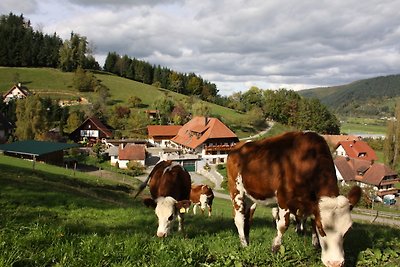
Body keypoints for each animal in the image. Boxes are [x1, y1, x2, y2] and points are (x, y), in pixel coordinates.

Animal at [228, 132, 362, 267]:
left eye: (348, 230)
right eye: (321, 228)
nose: (335, 263)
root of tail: (237, 146)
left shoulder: (311, 202)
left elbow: (310, 221)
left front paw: (315, 246)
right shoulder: (283, 197)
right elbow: (283, 225)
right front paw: (275, 248)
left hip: (250, 195)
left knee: (248, 217)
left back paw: (248, 241)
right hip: (236, 189)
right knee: (239, 219)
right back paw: (244, 244)